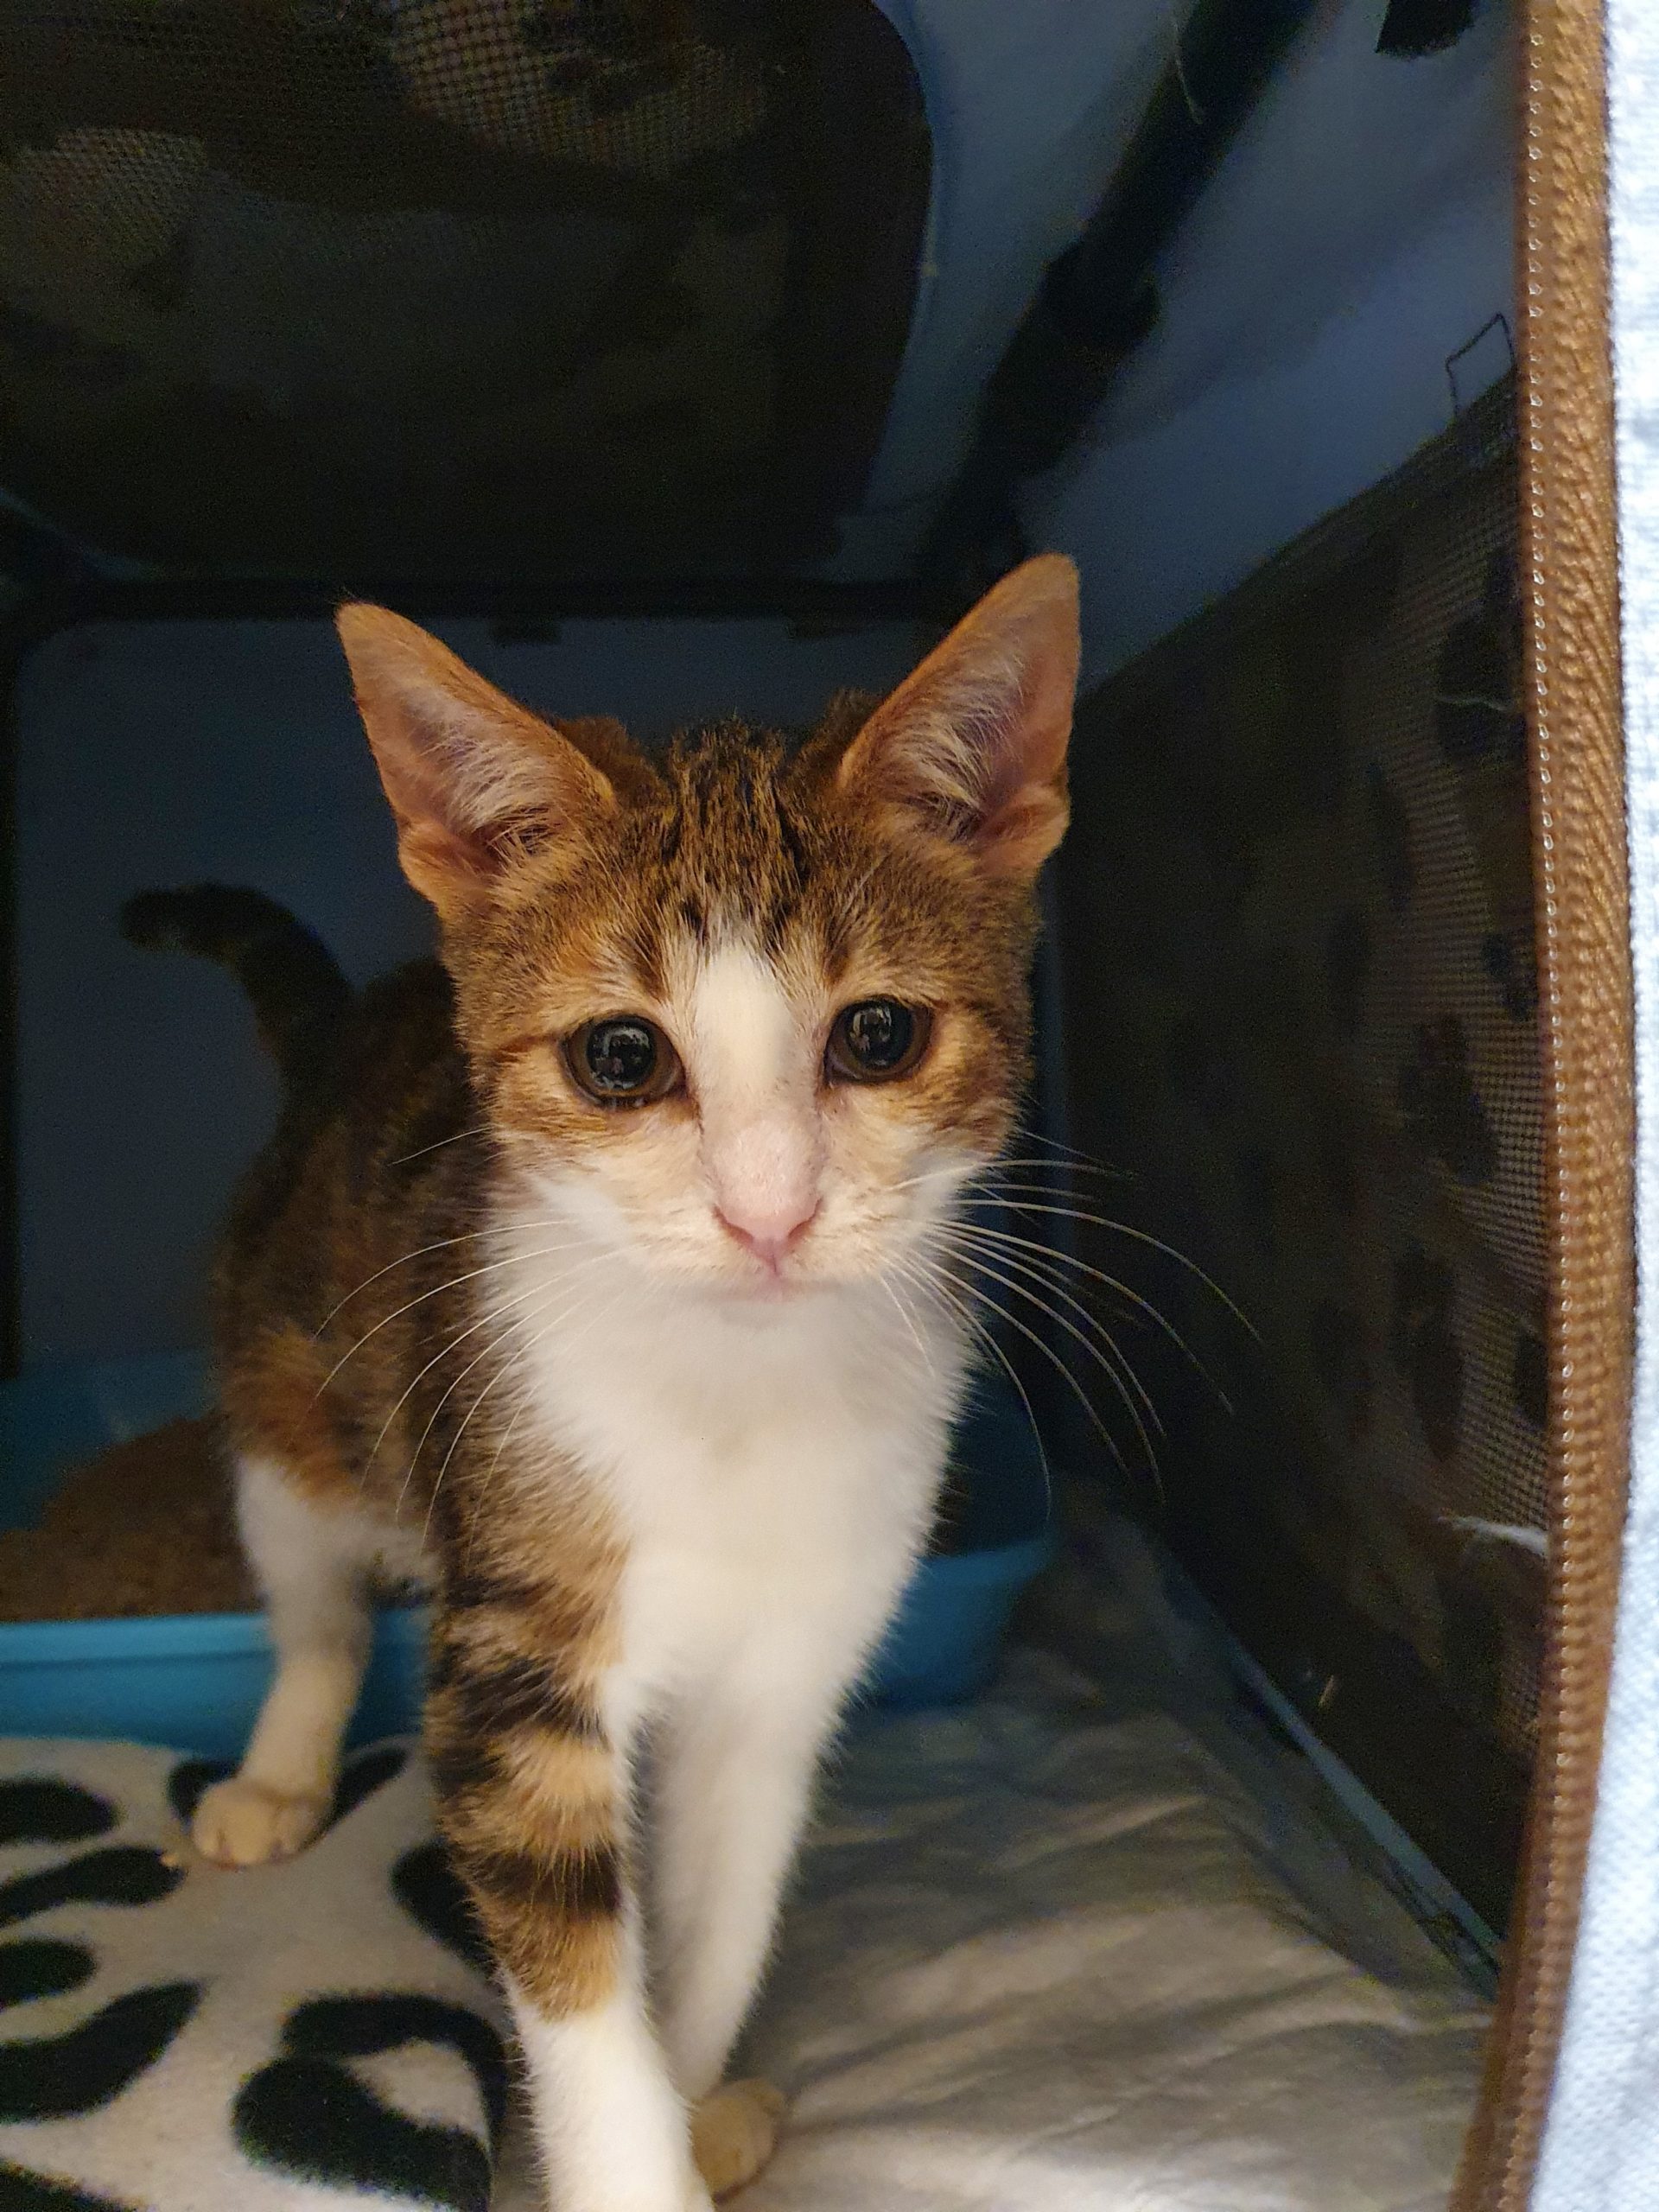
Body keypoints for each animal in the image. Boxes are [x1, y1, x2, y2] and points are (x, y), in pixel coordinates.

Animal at [126, 554, 1079, 2212]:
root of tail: (349, 1030)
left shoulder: (788, 1672)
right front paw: (633, 2160)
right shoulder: (517, 1662)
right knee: (311, 1594)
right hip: (292, 1386)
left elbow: (715, 1920)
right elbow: (578, 1972)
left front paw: (700, 2102)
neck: (734, 1396)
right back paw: (280, 1771)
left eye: (878, 1033)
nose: (769, 1212)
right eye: (623, 1058)